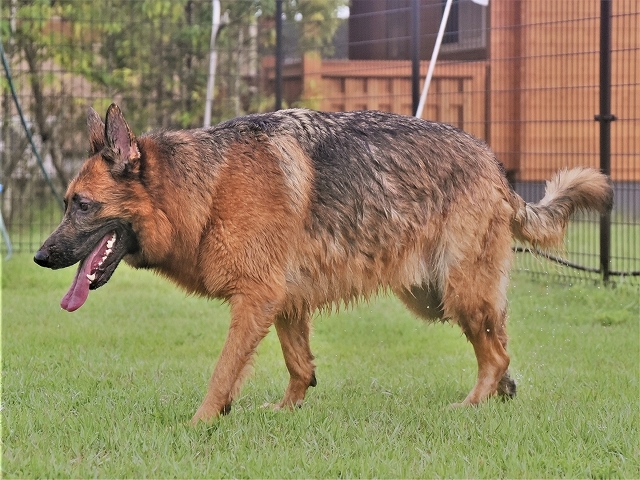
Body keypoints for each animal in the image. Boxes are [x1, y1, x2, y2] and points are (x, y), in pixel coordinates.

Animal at [33, 105, 608, 424]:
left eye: (82, 205)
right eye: (65, 202)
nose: (41, 256)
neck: (205, 190)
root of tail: (495, 168)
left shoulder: (256, 299)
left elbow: (223, 371)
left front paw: (200, 423)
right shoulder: (284, 302)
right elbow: (299, 366)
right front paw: (285, 411)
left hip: (456, 295)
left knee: (494, 353)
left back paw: (471, 406)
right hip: (436, 297)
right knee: (502, 342)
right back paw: (502, 394)